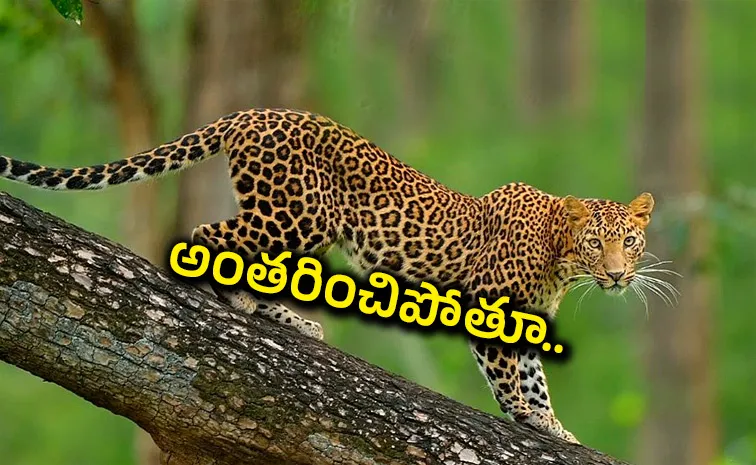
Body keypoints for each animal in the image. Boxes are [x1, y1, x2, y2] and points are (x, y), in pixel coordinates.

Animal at [0, 108, 657, 445]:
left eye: (629, 242)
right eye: (598, 242)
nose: (618, 276)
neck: (562, 260)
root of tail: (253, 111)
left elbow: (534, 374)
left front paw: (557, 428)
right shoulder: (489, 300)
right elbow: (510, 378)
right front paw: (531, 419)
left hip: (299, 225)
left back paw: (287, 318)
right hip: (293, 213)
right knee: (208, 236)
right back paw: (237, 302)